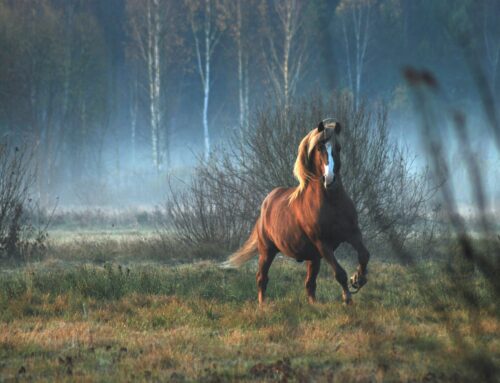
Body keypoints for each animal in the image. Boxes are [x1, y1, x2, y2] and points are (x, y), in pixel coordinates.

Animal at [225, 120, 370, 306]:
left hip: (313, 257)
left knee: (309, 283)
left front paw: (358, 279)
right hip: (267, 250)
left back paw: (314, 305)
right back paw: (263, 305)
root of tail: (266, 203)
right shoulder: (323, 243)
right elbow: (340, 273)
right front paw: (348, 298)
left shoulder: (352, 233)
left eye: (338, 147)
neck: (332, 202)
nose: (330, 180)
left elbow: (364, 255)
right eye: (319, 148)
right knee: (262, 278)